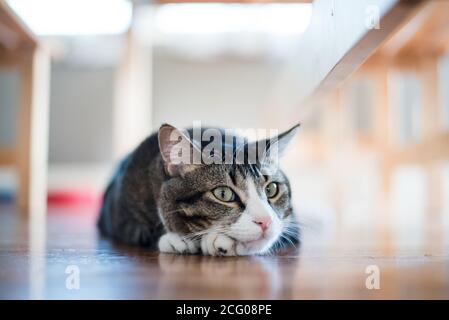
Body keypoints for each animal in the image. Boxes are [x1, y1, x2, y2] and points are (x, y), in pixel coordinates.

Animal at [98, 124, 300, 256]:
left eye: (271, 189)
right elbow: (141, 231)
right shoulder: (121, 216)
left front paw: (218, 242)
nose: (265, 221)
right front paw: (177, 239)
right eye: (223, 194)